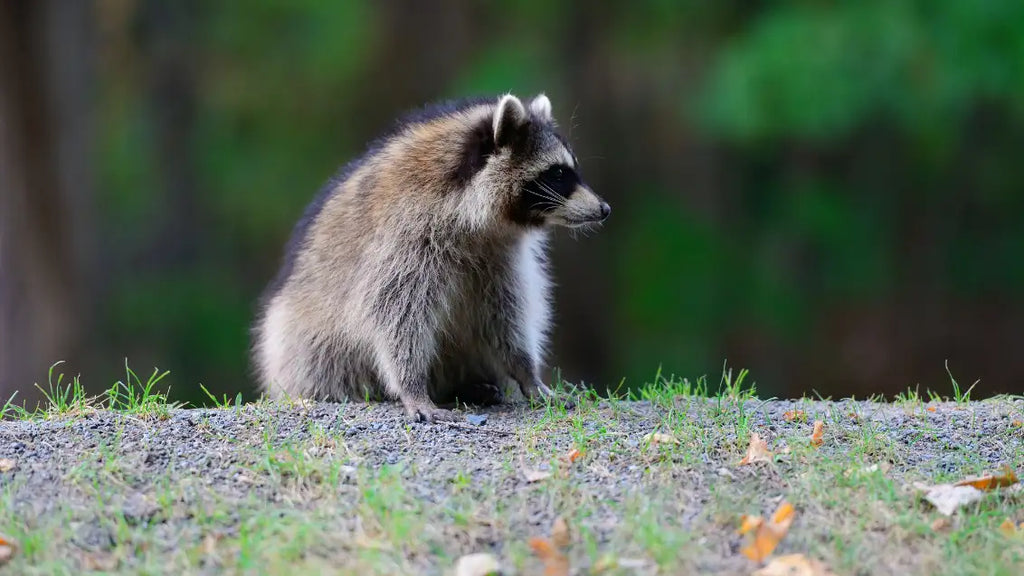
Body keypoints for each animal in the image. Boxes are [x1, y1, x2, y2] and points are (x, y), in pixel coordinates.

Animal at [252, 93, 609, 422]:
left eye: (569, 170)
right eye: (558, 173)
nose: (605, 208)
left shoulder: (499, 255)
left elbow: (505, 315)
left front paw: (527, 372)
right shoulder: (406, 236)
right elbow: (394, 315)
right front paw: (411, 386)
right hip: (302, 345)